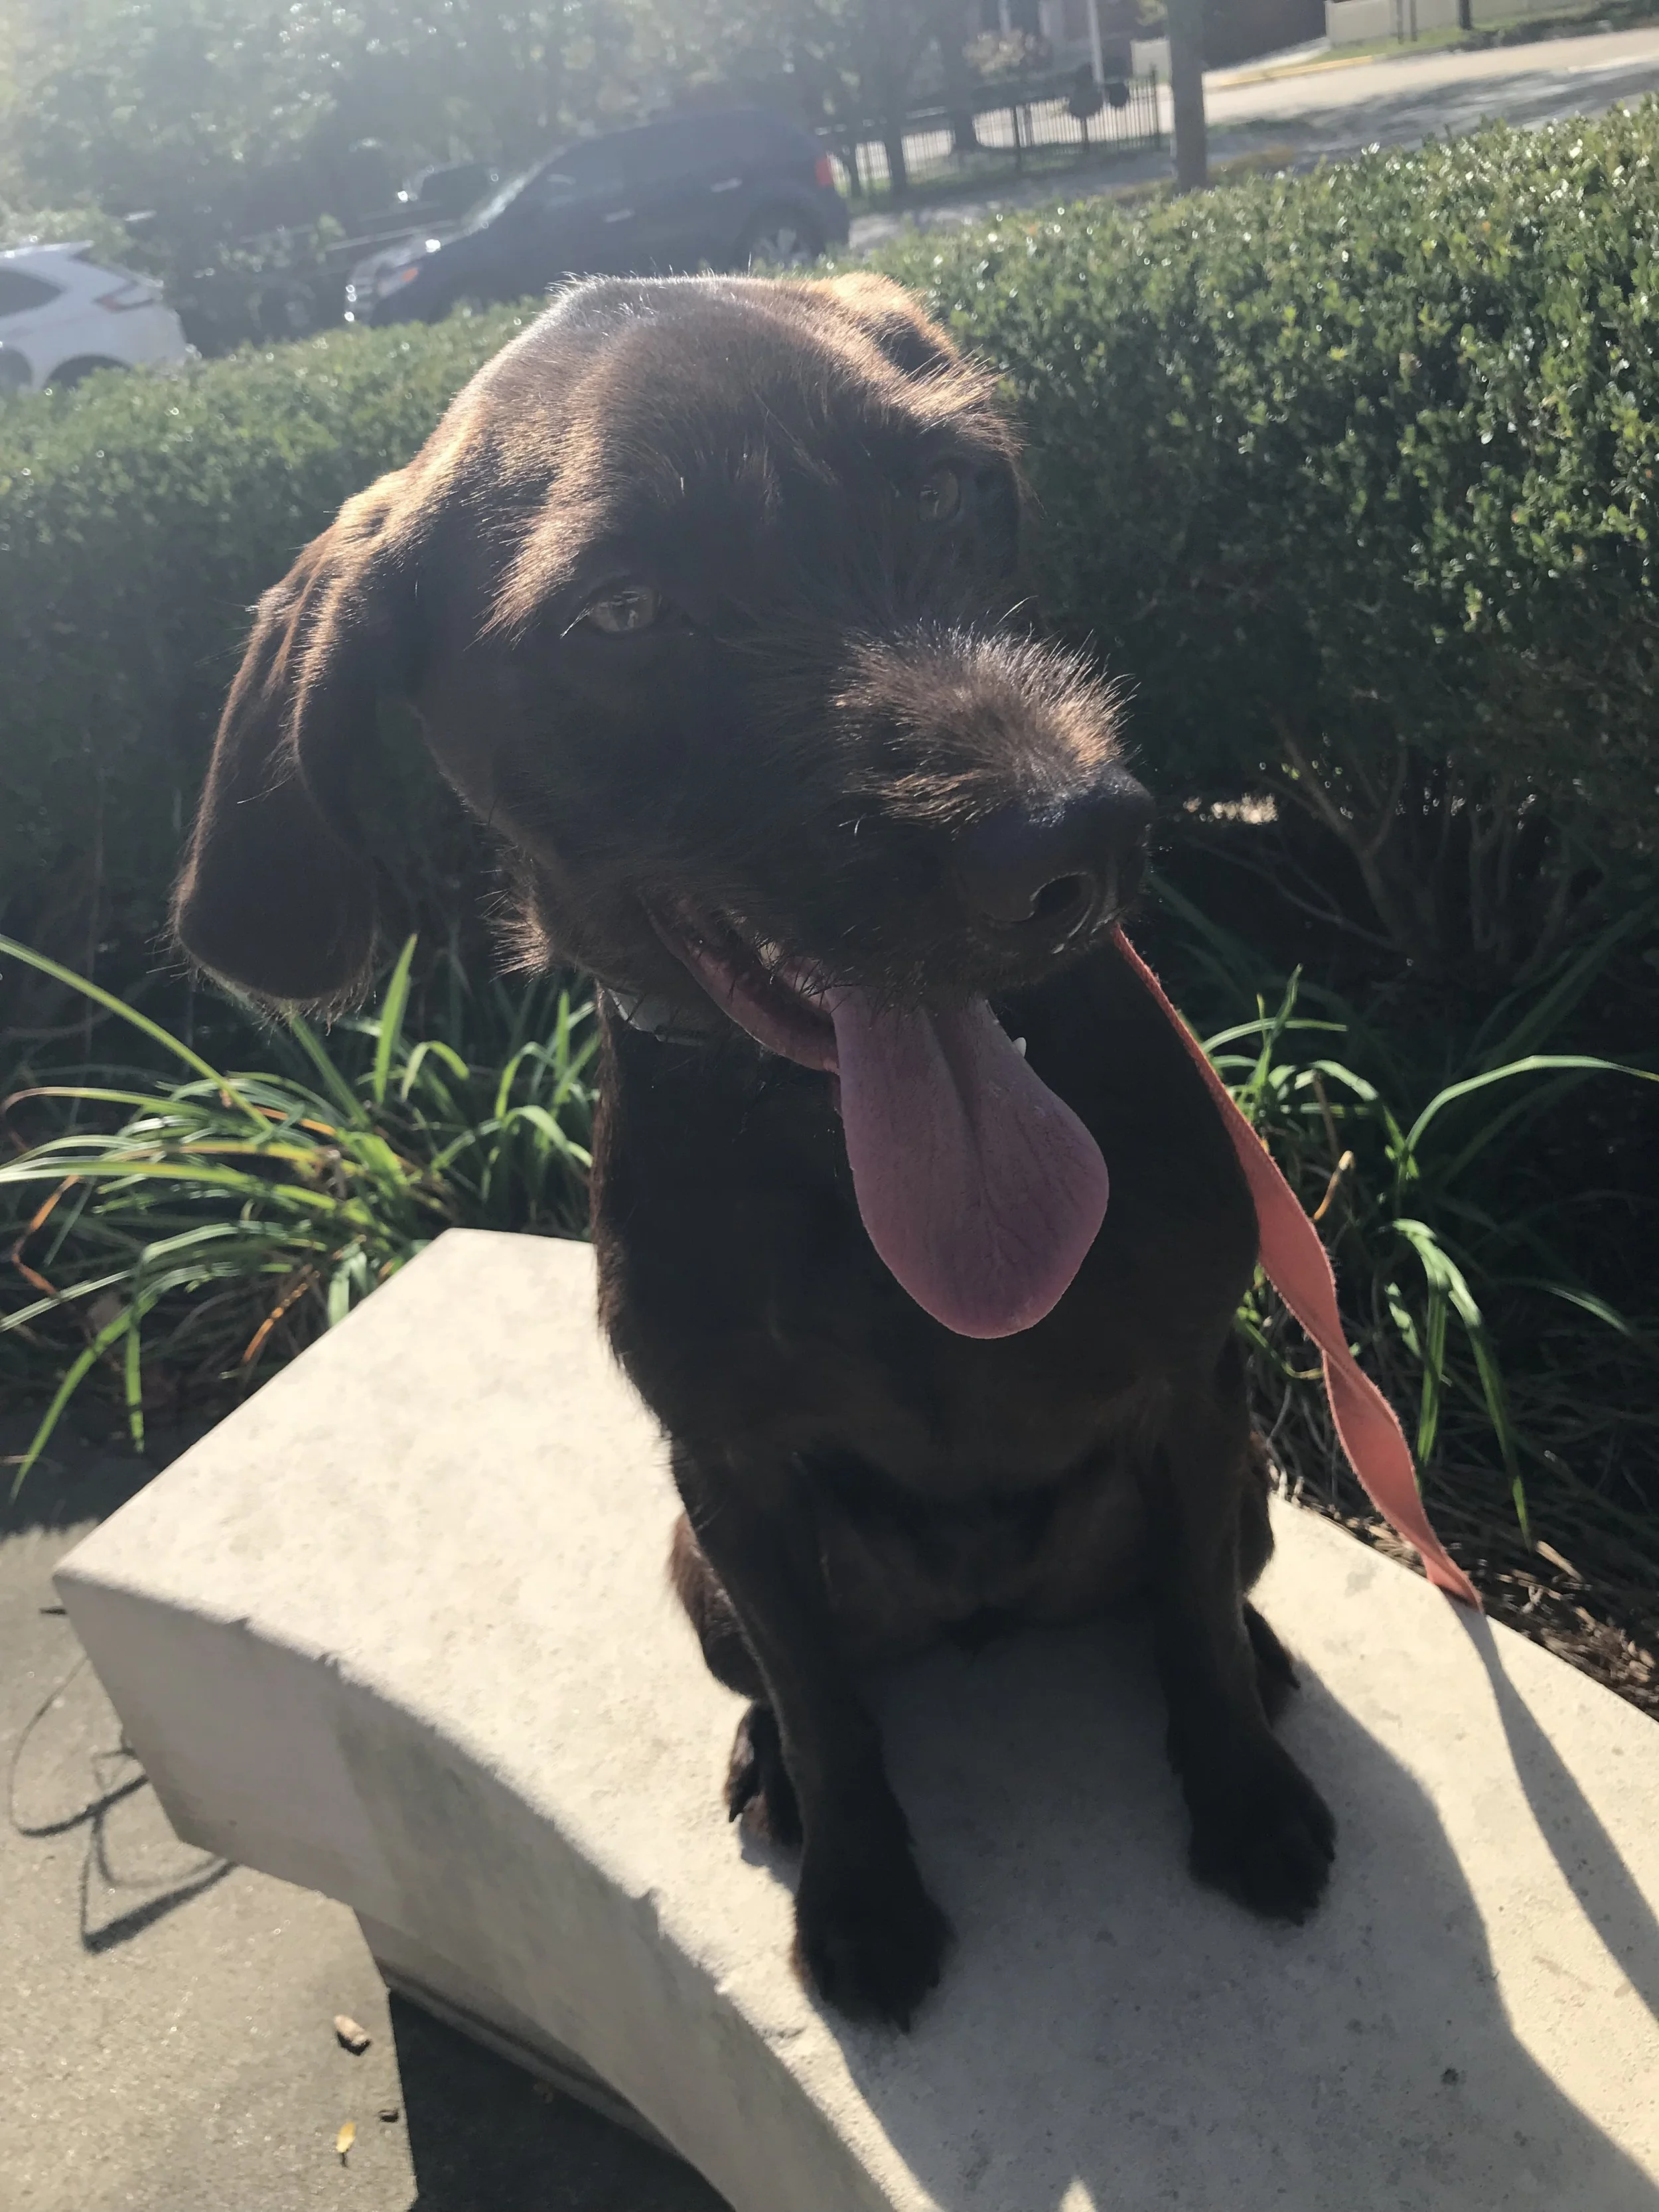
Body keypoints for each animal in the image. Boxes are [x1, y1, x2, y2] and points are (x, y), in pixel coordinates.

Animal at [174, 272, 1335, 2027]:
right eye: (621, 617)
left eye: (948, 492)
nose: (1074, 843)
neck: (843, 1187)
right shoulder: (731, 1479)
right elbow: (827, 1706)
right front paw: (856, 1888)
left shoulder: (1193, 1390)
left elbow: (1192, 1621)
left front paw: (1246, 1792)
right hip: (696, 1571)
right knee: (800, 1682)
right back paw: (769, 1768)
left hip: (1244, 1468)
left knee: (1194, 1582)